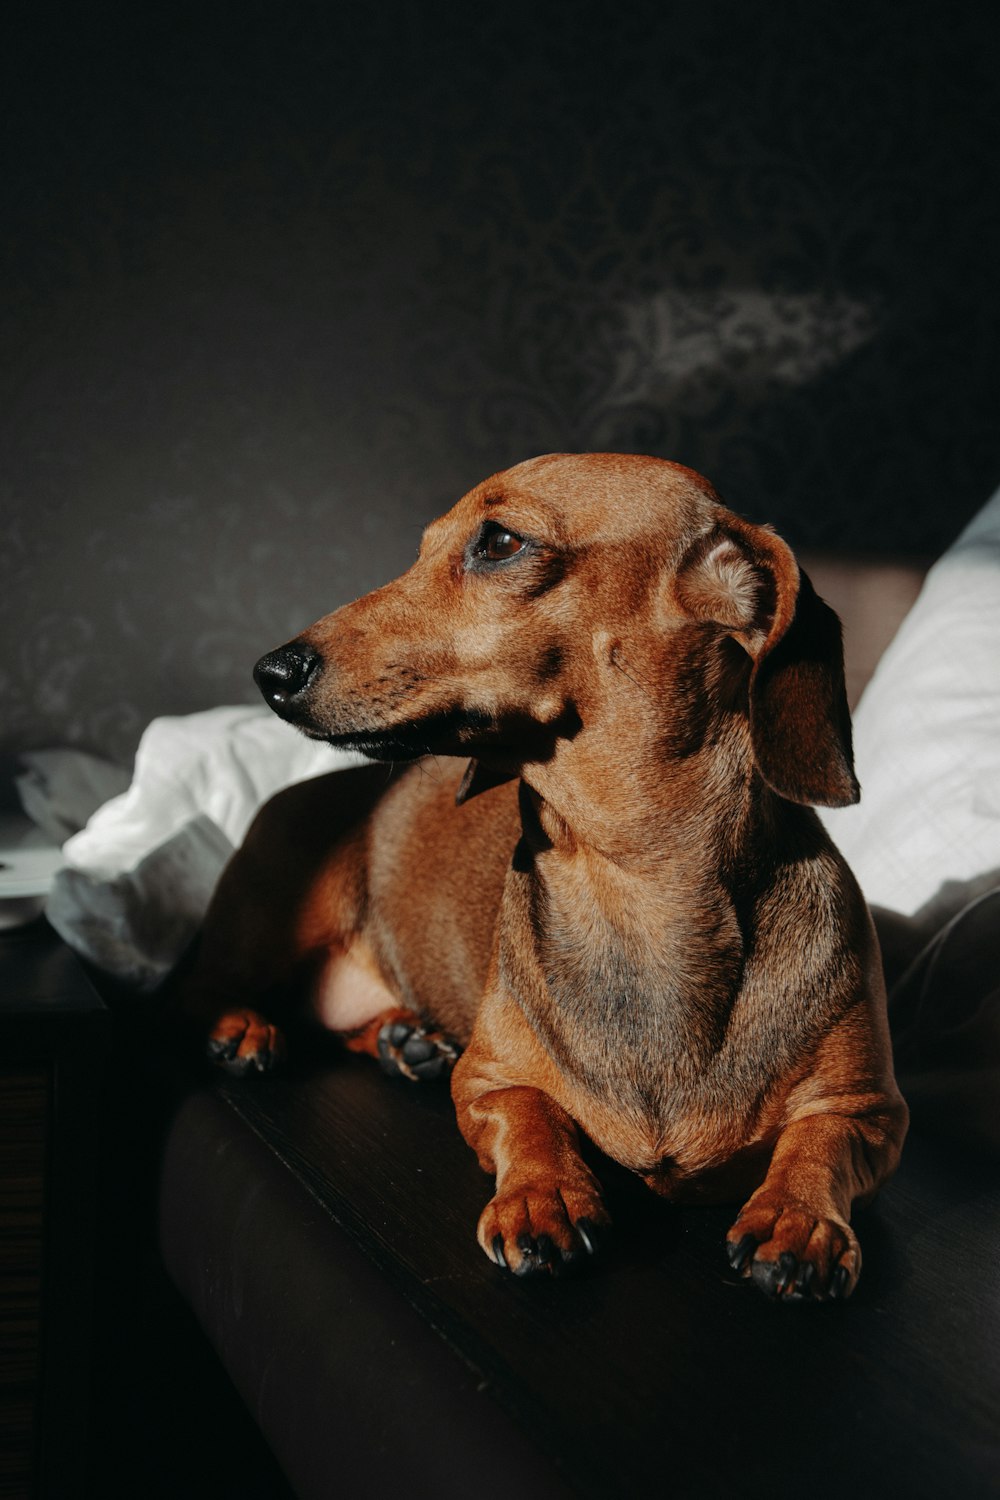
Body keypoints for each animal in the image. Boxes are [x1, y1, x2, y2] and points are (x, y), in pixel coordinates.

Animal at [176, 447, 911, 1302]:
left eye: (499, 542)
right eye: (426, 545)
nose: (271, 671)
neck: (634, 886)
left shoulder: (870, 1112)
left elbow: (819, 1144)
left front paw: (796, 1219)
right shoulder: (487, 1083)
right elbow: (529, 1115)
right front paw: (543, 1195)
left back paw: (402, 1040)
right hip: (269, 926)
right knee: (199, 990)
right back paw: (245, 1029)